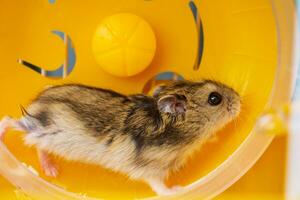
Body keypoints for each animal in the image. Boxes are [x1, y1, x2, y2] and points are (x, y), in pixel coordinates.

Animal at [0, 79, 240, 195]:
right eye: (214, 98)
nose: (240, 100)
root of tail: (39, 99)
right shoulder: (150, 170)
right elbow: (160, 188)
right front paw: (179, 190)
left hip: (46, 136)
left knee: (38, 146)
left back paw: (51, 170)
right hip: (38, 126)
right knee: (9, 120)